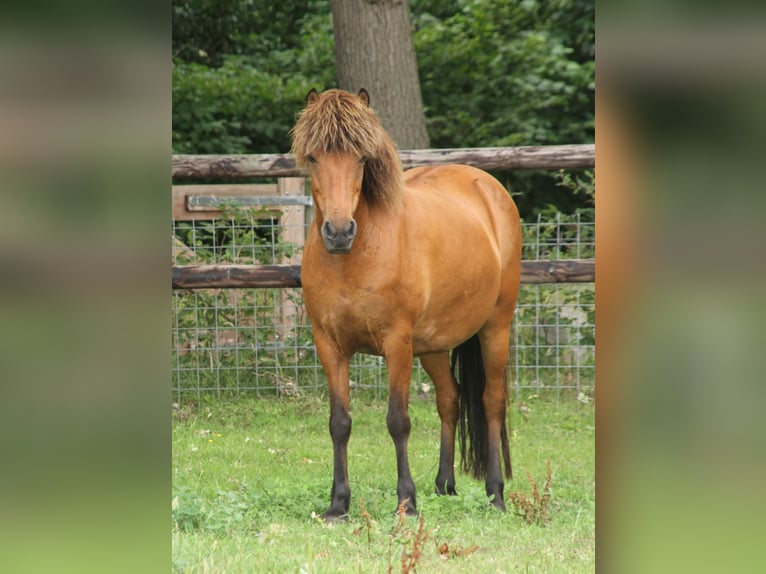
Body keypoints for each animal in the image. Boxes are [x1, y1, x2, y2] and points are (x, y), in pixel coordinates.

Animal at [291, 88, 521, 521]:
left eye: (361, 158)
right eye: (313, 157)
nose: (339, 232)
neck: (355, 257)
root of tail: (487, 186)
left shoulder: (396, 343)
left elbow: (398, 421)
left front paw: (407, 502)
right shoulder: (328, 344)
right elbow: (339, 422)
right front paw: (338, 504)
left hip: (495, 328)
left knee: (491, 403)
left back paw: (495, 494)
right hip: (433, 345)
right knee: (450, 398)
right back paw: (444, 485)